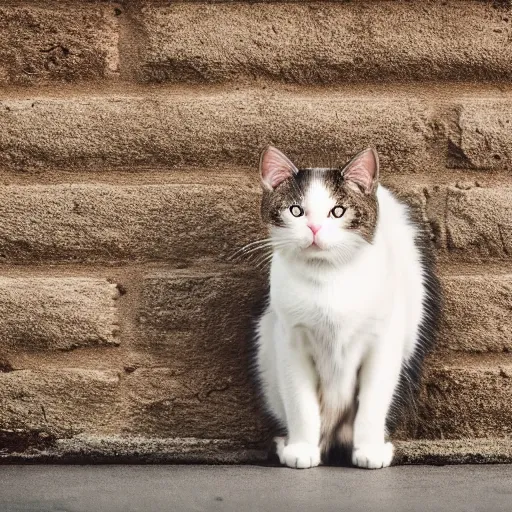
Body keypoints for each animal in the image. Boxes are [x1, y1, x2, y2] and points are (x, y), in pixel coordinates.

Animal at [252, 146, 440, 470]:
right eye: (295, 211)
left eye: (337, 211)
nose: (314, 228)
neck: (328, 277)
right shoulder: (290, 339)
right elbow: (299, 400)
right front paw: (302, 448)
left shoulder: (383, 340)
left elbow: (374, 398)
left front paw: (370, 449)